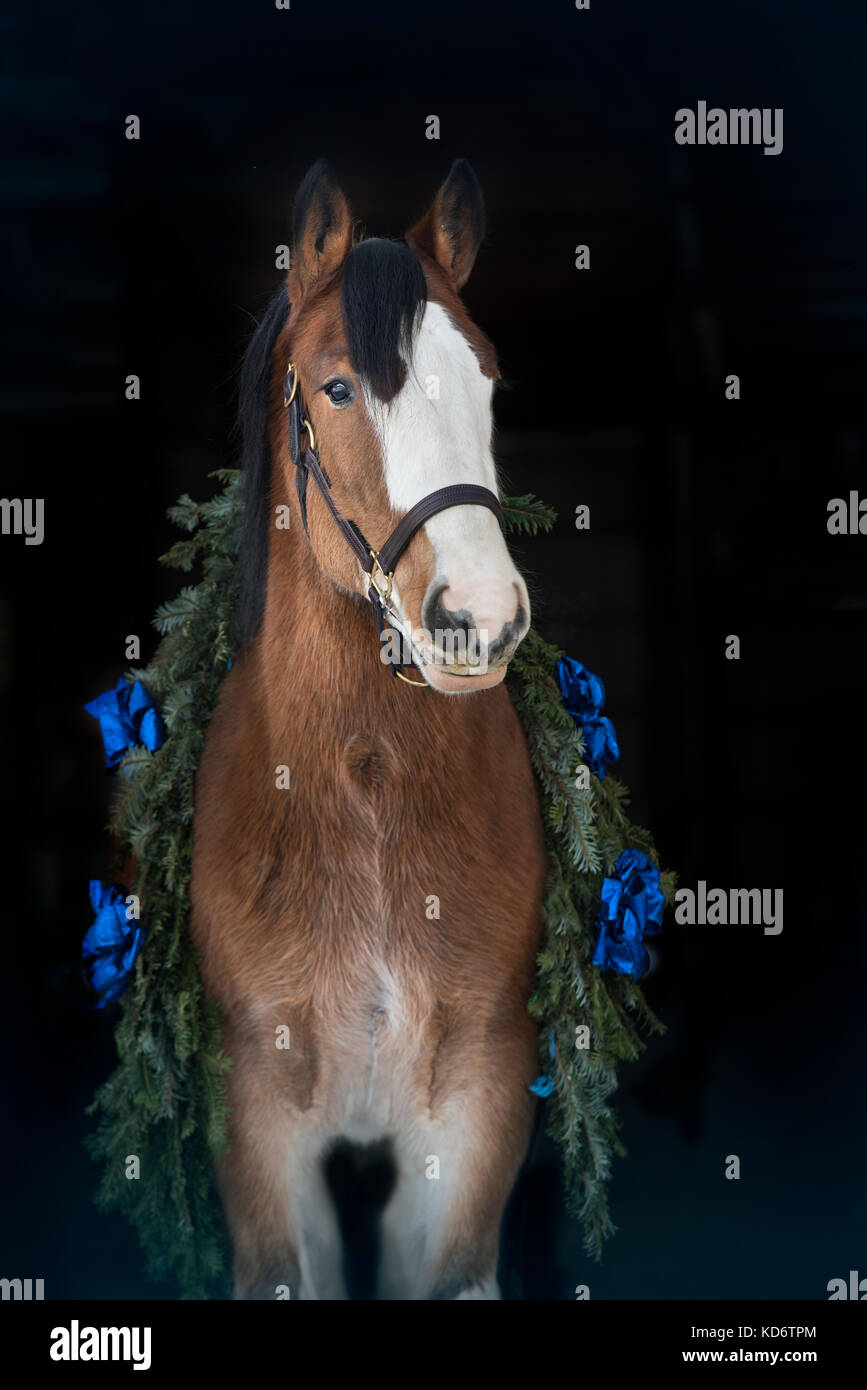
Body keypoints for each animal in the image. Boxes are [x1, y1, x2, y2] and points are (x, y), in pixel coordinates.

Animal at [190, 158, 548, 1299]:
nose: (479, 617)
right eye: (339, 388)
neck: (363, 792)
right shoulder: (260, 1129)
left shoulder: (474, 1111)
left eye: (487, 381)